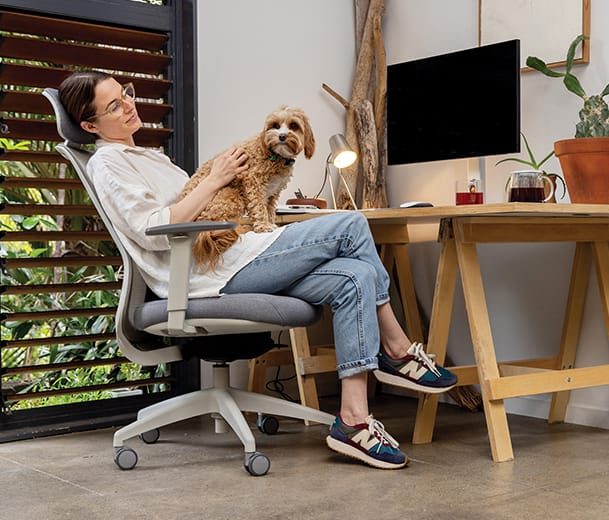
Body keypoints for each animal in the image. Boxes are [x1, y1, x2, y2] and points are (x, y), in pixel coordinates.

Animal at [177, 103, 314, 270]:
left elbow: (269, 210)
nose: (282, 136)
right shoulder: (253, 182)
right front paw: (263, 226)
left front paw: (270, 223)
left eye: (294, 126)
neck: (277, 156)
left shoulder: (273, 193)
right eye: (275, 126)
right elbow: (259, 208)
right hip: (230, 194)